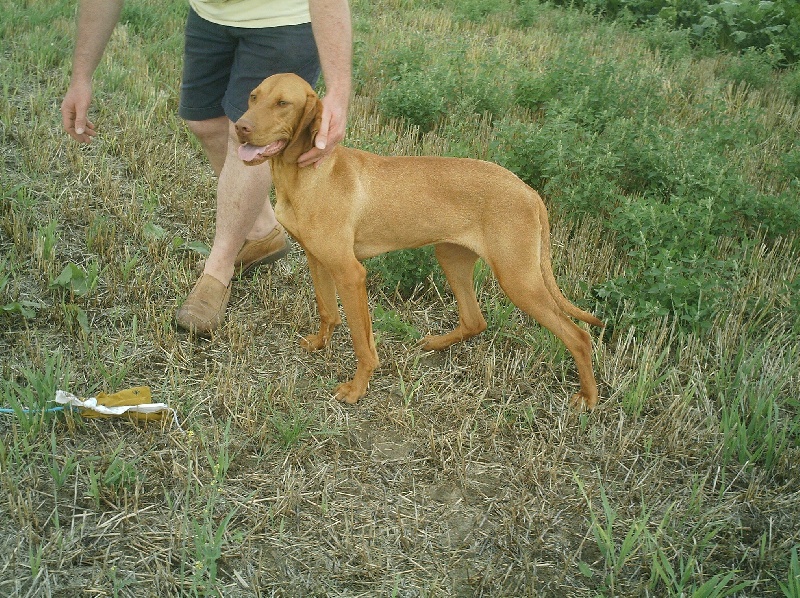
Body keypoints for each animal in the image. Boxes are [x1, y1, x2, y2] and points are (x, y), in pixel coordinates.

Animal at [234, 72, 604, 410]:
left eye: (283, 103)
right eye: (253, 96)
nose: (240, 127)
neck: (305, 174)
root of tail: (529, 191)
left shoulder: (350, 273)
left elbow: (362, 342)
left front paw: (357, 388)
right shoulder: (318, 259)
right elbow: (328, 311)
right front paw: (319, 344)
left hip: (519, 280)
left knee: (579, 336)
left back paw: (588, 397)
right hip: (452, 258)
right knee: (475, 320)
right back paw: (436, 343)